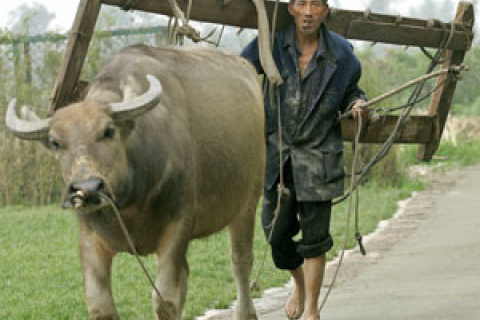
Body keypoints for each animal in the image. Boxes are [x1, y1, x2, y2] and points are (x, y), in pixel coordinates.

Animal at [4, 44, 266, 320]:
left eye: (108, 131)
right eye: (55, 142)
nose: (88, 189)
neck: (130, 201)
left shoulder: (179, 224)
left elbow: (165, 300)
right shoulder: (89, 235)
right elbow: (100, 305)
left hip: (248, 200)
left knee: (240, 260)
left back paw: (246, 311)